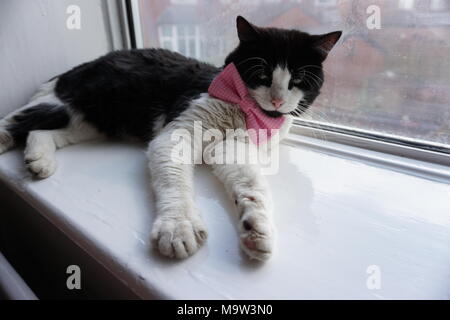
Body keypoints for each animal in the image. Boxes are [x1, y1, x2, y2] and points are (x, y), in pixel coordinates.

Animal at [0, 16, 340, 260]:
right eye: (262, 74)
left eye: (299, 79)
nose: (278, 100)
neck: (246, 111)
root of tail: (72, 71)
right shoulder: (177, 131)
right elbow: (174, 180)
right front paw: (178, 227)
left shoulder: (232, 148)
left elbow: (252, 184)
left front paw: (257, 228)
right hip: (64, 102)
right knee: (15, 120)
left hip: (88, 122)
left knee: (42, 131)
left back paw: (38, 160)